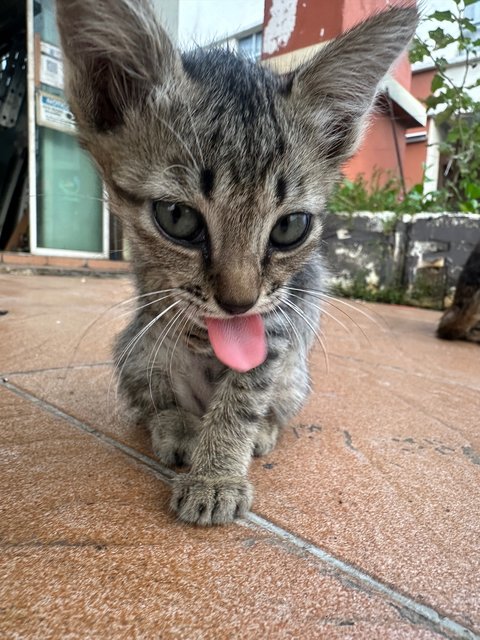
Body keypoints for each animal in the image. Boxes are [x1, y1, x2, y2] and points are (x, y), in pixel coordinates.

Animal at [55, 0, 416, 524]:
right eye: (177, 217)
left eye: (291, 227)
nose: (238, 303)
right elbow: (161, 310)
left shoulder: (281, 322)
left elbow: (243, 397)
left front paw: (216, 475)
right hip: (135, 353)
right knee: (153, 396)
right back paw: (179, 425)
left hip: (295, 377)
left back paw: (260, 431)